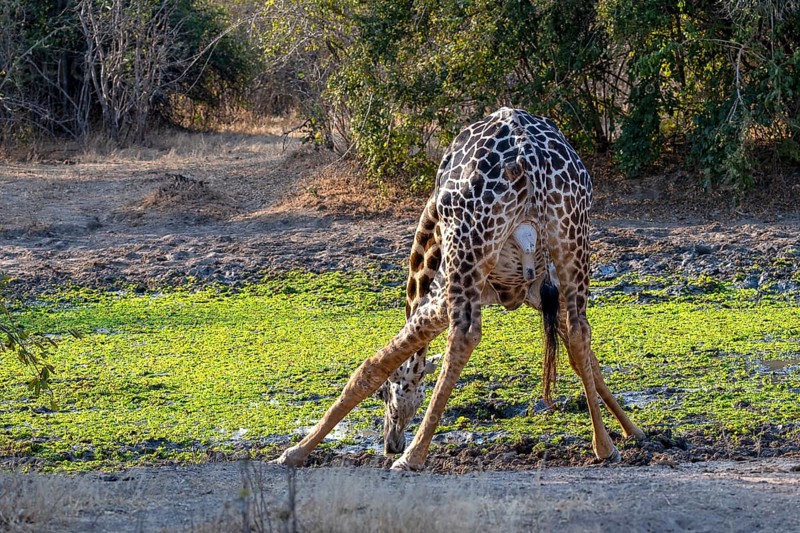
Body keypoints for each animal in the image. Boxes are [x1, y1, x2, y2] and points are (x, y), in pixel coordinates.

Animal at [274, 107, 644, 471]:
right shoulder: (537, 291)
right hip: (571, 237)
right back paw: (603, 447)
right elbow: (585, 358)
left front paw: (293, 453)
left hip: (470, 251)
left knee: (464, 334)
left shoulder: (440, 295)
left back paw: (414, 457)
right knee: (581, 328)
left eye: (385, 395)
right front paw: (631, 431)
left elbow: (374, 364)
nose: (392, 443)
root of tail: (529, 157)